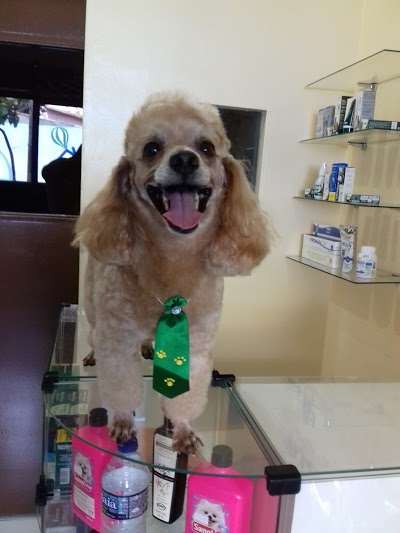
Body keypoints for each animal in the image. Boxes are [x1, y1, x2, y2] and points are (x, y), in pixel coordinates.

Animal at [74, 92, 269, 453]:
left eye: (206, 147)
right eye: (152, 148)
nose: (184, 160)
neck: (172, 258)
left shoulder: (197, 344)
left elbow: (185, 396)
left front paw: (181, 429)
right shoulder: (118, 340)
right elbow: (121, 385)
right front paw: (122, 421)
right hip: (95, 308)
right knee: (94, 333)